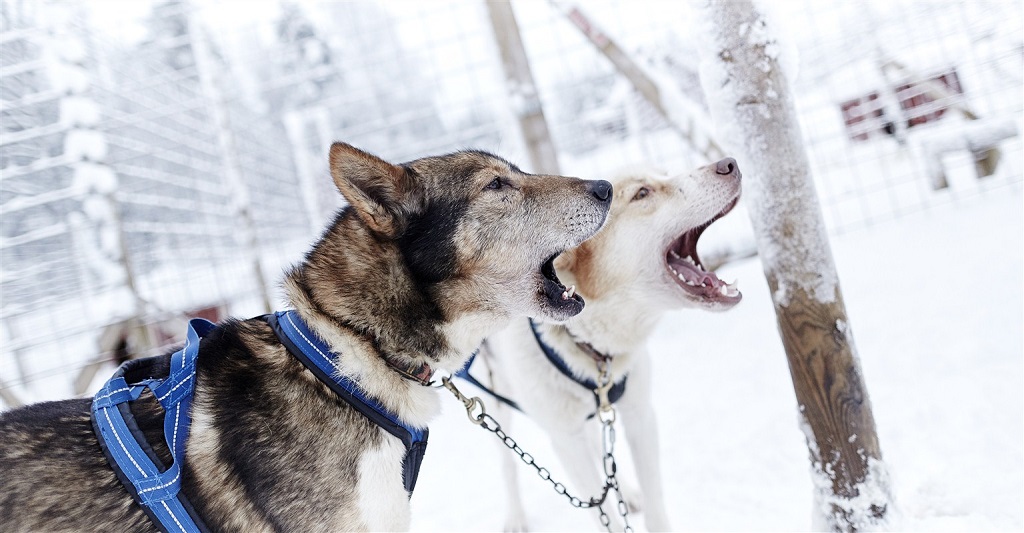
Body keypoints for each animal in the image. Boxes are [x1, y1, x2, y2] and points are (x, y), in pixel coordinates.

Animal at [468, 155, 745, 527]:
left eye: (663, 173)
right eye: (642, 193)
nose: (729, 163)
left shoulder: (640, 415)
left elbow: (653, 501)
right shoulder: (566, 441)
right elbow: (604, 515)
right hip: (497, 403)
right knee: (508, 464)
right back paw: (515, 516)